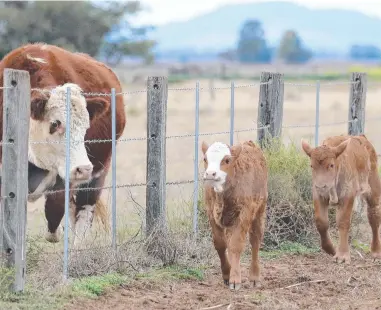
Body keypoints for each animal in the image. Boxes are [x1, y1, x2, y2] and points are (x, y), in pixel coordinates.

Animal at [0, 43, 127, 246]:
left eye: (86, 126)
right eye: (55, 124)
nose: (83, 168)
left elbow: (57, 206)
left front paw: (55, 233)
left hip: (97, 175)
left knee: (82, 214)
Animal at [200, 140, 266, 290]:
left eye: (227, 160)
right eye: (205, 159)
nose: (210, 174)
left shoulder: (245, 213)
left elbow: (236, 245)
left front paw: (235, 279)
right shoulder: (211, 212)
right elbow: (220, 244)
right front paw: (227, 274)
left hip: (259, 211)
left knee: (255, 241)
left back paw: (254, 277)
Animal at [300, 134, 380, 262]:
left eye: (331, 165)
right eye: (312, 165)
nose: (321, 186)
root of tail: (362, 138)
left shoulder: (347, 196)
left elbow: (343, 222)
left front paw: (342, 256)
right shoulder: (319, 196)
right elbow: (321, 222)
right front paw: (332, 250)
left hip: (373, 190)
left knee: (374, 216)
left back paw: (376, 252)